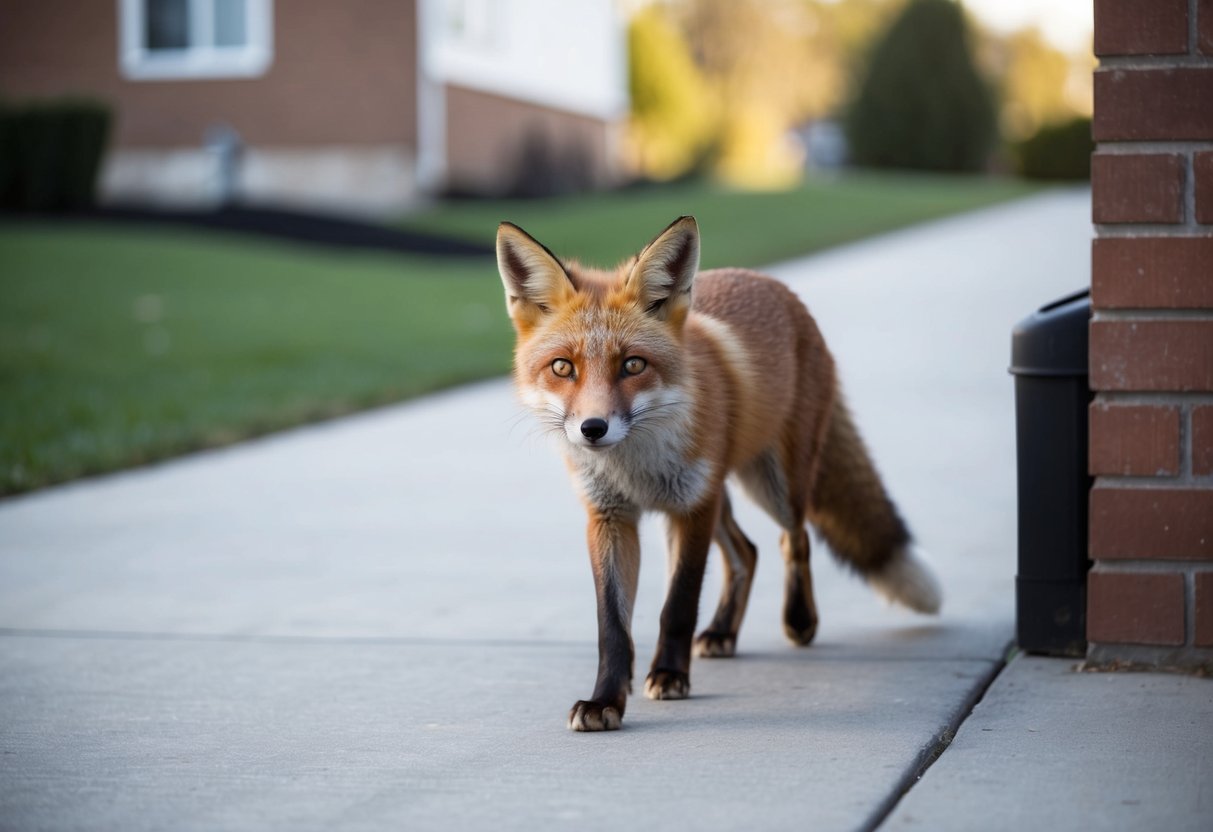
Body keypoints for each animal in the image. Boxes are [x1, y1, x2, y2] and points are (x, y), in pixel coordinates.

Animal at [496, 216, 942, 732]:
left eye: (633, 364)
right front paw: (607, 698)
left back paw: (799, 620)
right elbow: (613, 626)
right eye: (562, 367)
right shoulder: (611, 516)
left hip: (772, 486)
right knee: (746, 552)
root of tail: (770, 281)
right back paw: (723, 633)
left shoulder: (692, 508)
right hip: (719, 497)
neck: (636, 468)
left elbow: (679, 605)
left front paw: (670, 675)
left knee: (793, 539)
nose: (593, 428)